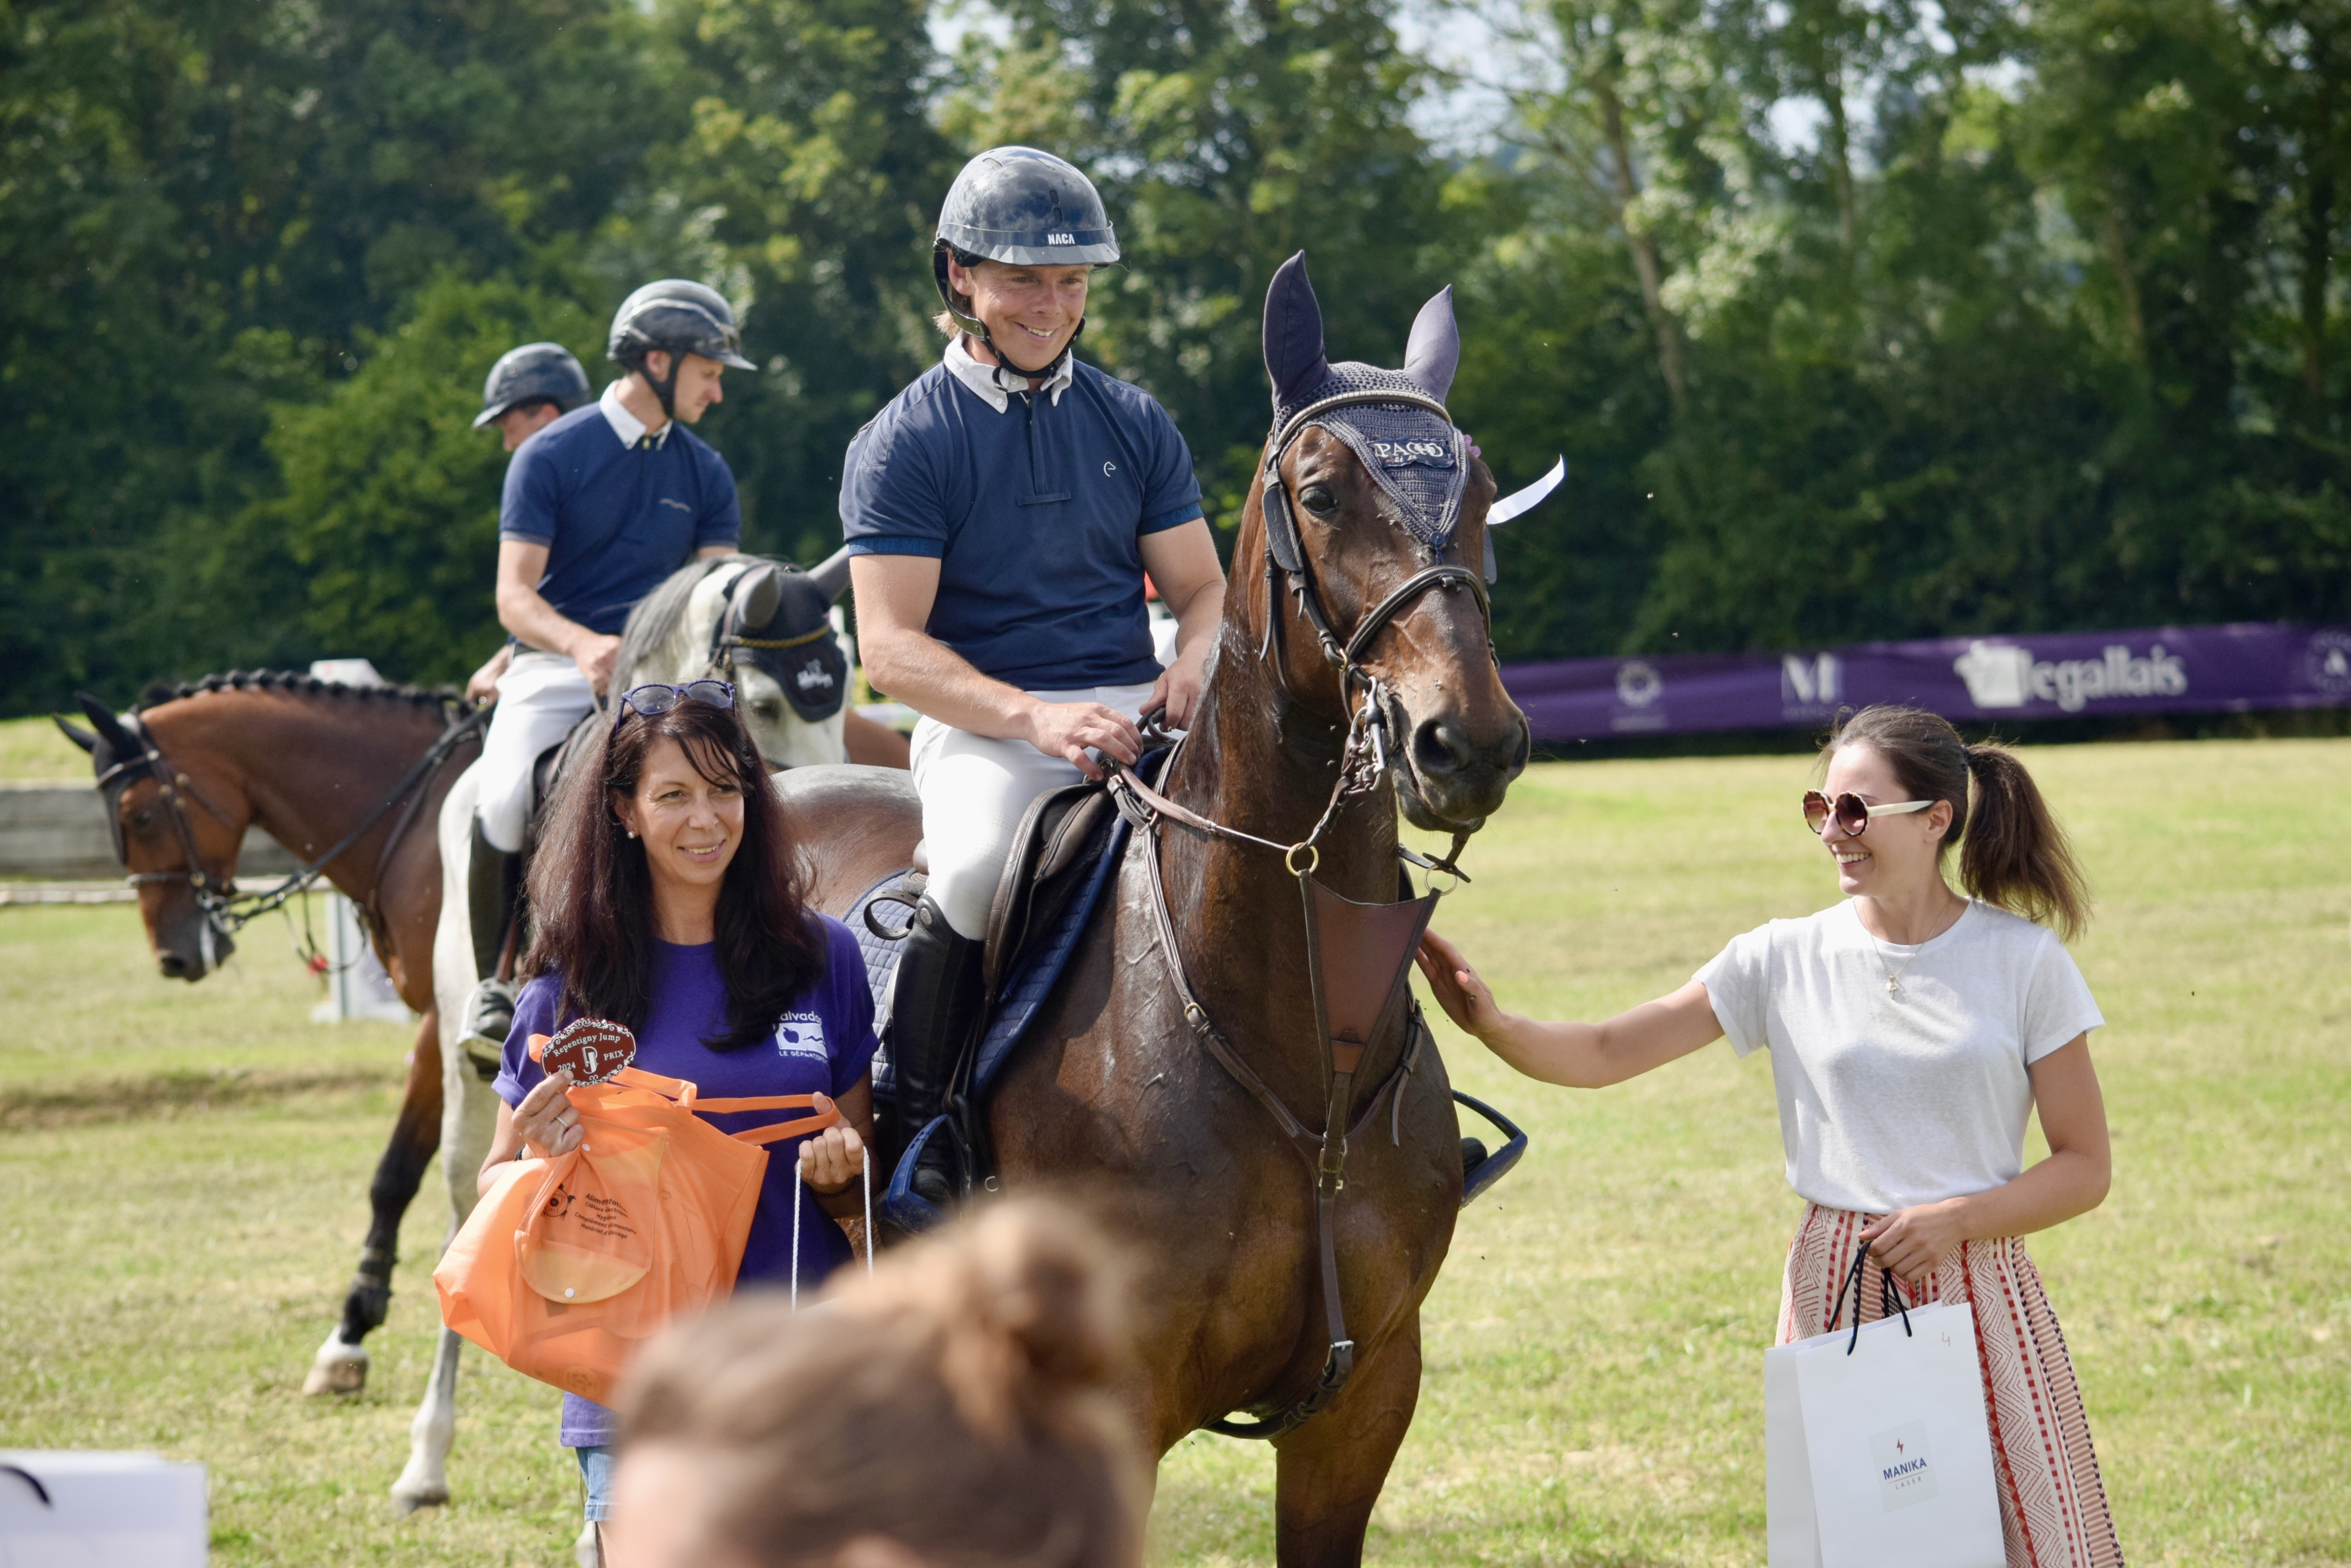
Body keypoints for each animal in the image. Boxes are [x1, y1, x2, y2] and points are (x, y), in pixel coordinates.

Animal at [774, 255, 1525, 1563]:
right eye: (1320, 493)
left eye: (1479, 486)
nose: (1466, 741)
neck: (1290, 1047)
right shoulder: (1112, 1405)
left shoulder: (1365, 1397)